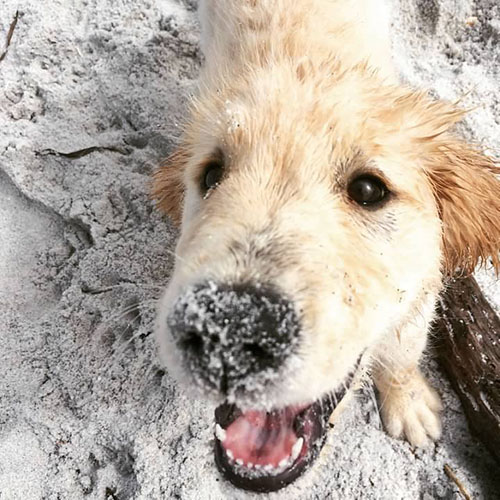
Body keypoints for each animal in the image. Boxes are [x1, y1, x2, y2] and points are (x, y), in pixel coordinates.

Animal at [152, 0, 500, 492]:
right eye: (211, 174)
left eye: (370, 190)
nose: (229, 329)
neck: (310, 59)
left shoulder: (421, 295)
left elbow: (401, 352)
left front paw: (408, 401)